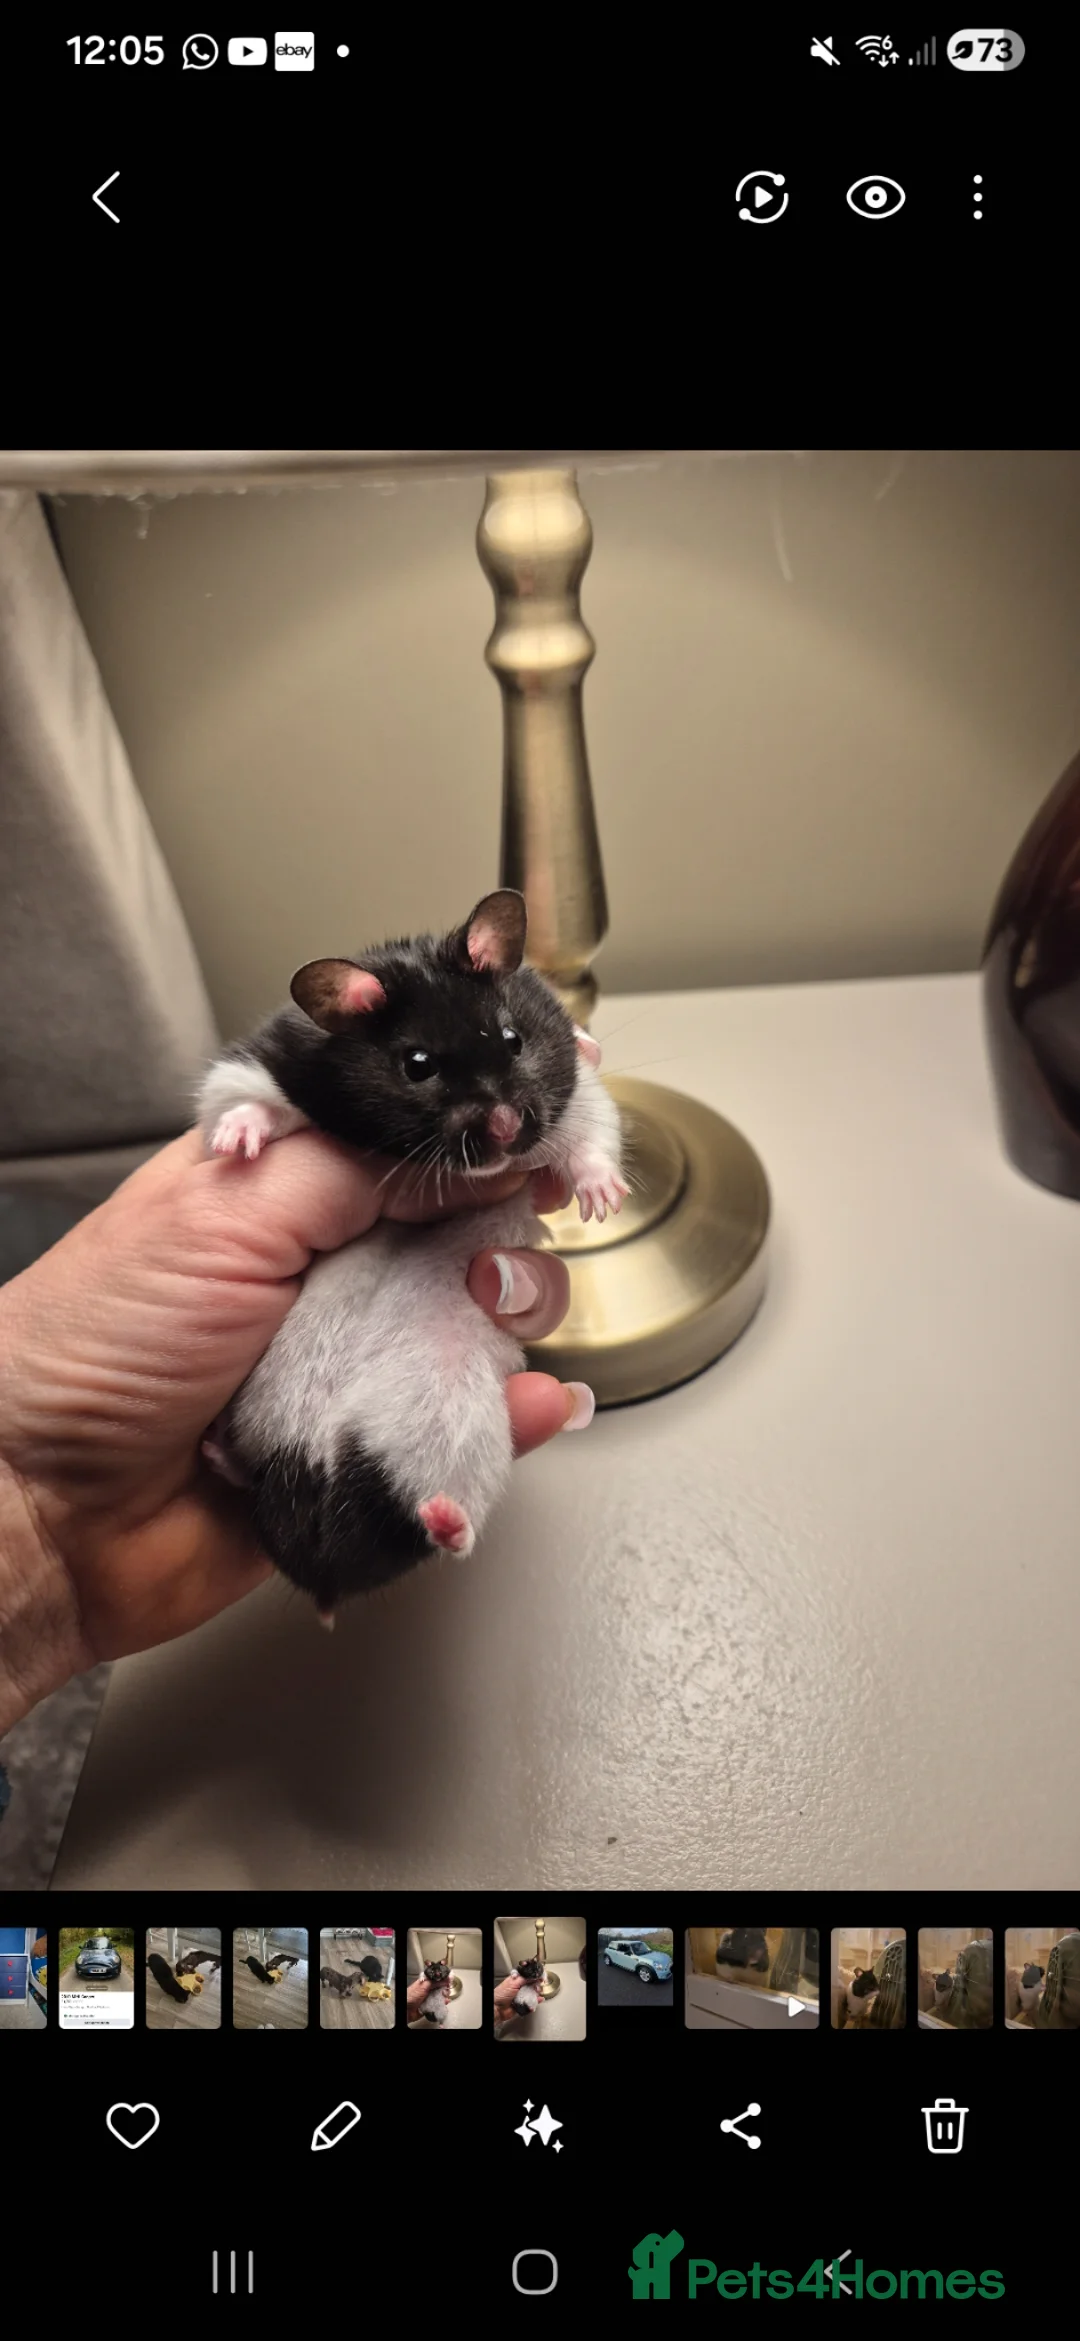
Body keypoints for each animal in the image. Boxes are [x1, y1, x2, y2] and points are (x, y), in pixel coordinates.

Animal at [196, 889, 627, 1619]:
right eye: (417, 1064)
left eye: (512, 1038)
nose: (506, 1131)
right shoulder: (263, 1059)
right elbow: (242, 1097)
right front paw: (237, 1148)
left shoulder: (571, 1096)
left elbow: (590, 1132)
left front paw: (604, 1201)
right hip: (274, 1410)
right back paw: (219, 1454)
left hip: (454, 1419)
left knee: (420, 1520)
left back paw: (445, 1519)